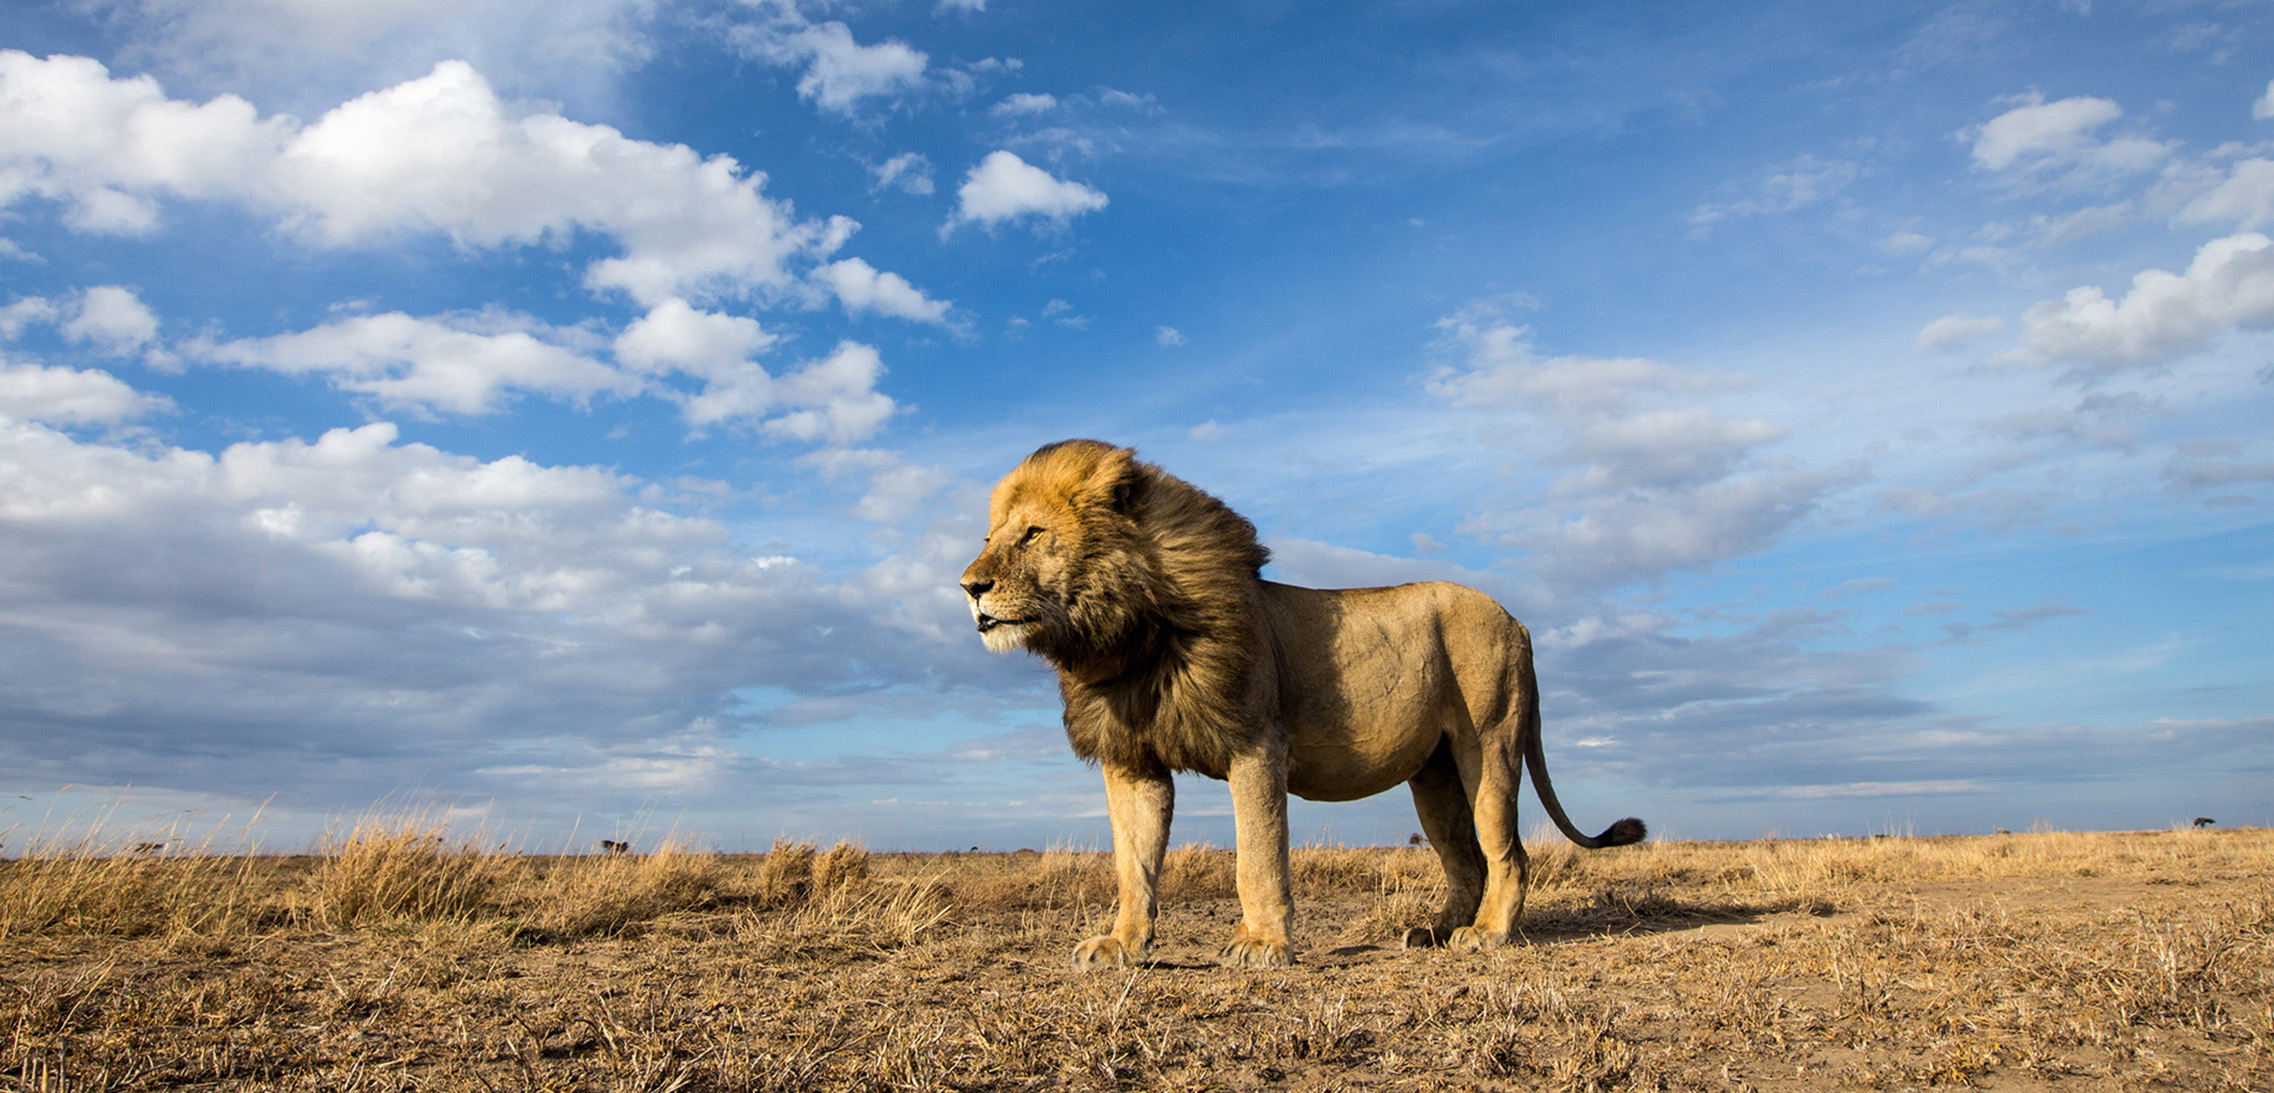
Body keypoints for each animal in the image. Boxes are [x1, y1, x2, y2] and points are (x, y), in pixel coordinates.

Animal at [950, 438, 1646, 968]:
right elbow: (1133, 864)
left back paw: (1486, 936)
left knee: (1507, 852)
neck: (1124, 635)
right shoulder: (1133, 763)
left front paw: (1262, 945)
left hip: (1490, 744)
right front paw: (1121, 946)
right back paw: (1434, 931)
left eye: (1033, 534)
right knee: (1465, 857)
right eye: (988, 536)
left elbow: (1258, 856)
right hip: (1434, 773)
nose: (969, 587)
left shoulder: (1257, 745)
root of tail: (1519, 620)